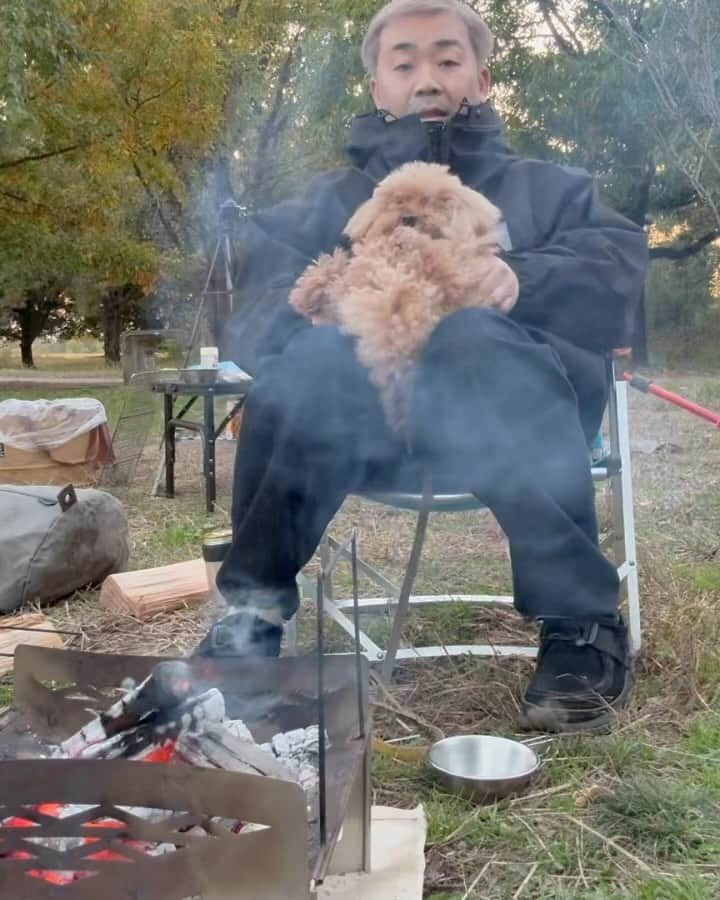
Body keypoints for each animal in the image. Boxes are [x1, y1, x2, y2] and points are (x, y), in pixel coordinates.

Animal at [286, 162, 500, 428]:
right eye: (399, 201)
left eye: (431, 202)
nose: (408, 219)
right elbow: (338, 273)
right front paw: (307, 290)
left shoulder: (453, 279)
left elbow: (433, 258)